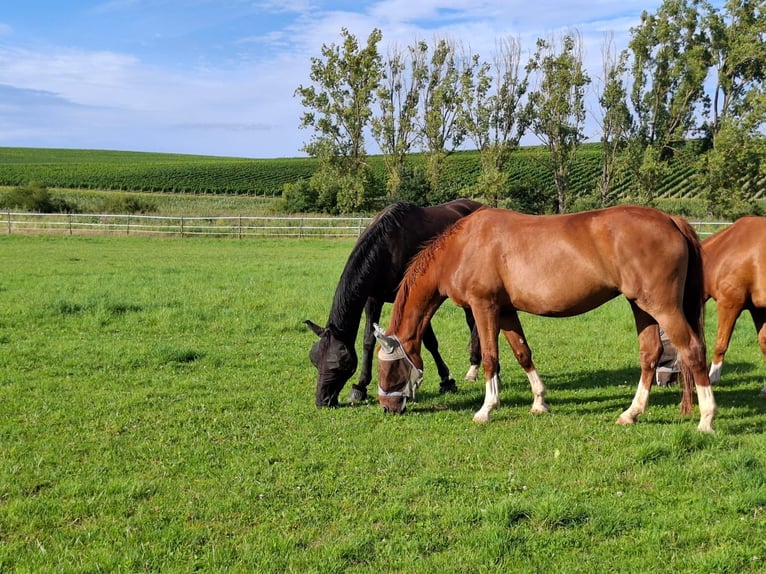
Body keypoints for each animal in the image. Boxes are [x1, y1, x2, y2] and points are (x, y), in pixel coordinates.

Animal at [305, 199, 484, 408]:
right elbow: (368, 341)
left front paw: (446, 380)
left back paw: (474, 366)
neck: (388, 247)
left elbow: (430, 342)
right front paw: (360, 387)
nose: (323, 400)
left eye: (339, 364)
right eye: (315, 360)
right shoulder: (373, 299)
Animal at [374, 205, 717, 432]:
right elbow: (522, 352)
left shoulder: (484, 307)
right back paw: (631, 413)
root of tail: (670, 219)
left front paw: (486, 409)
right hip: (641, 307)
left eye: (389, 368)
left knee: (693, 350)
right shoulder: (506, 310)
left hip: (663, 307)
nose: (386, 408)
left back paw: (706, 419)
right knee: (650, 354)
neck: (462, 246)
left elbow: (490, 358)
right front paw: (539, 402)